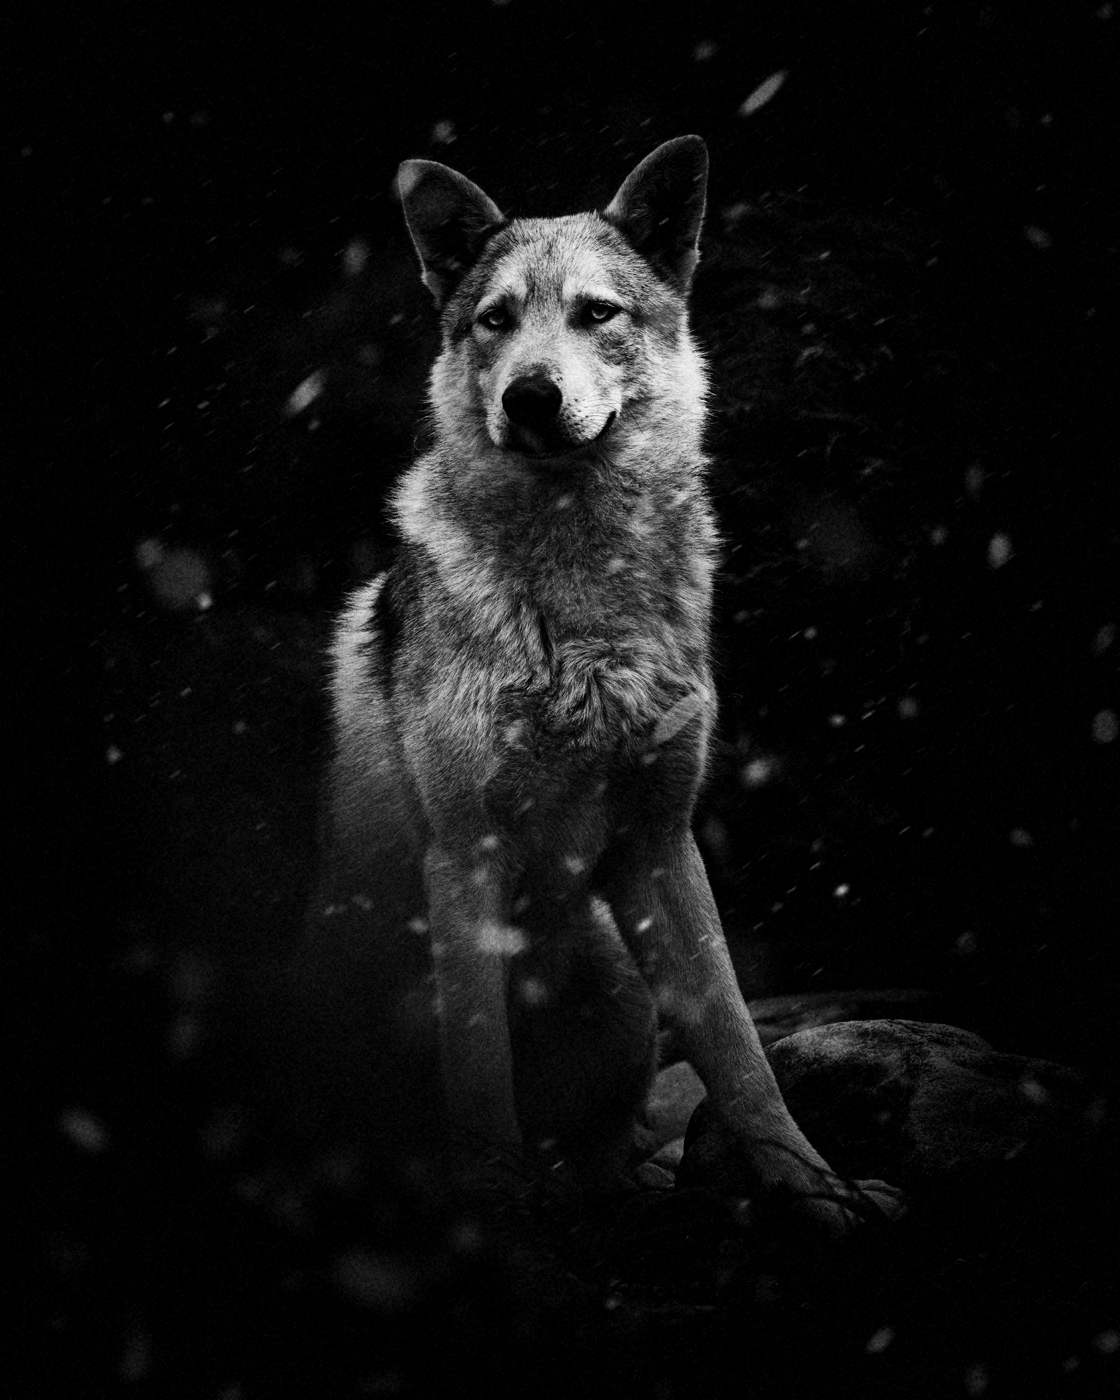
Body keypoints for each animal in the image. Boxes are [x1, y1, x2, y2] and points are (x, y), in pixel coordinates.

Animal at [313, 136, 900, 1231]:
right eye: (496, 319)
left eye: (597, 313)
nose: (530, 396)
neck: (582, 615)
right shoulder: (466, 855)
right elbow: (478, 1061)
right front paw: (490, 1196)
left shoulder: (660, 841)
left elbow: (739, 1047)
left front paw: (814, 1184)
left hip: (622, 990)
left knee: (614, 1147)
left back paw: (614, 1181)